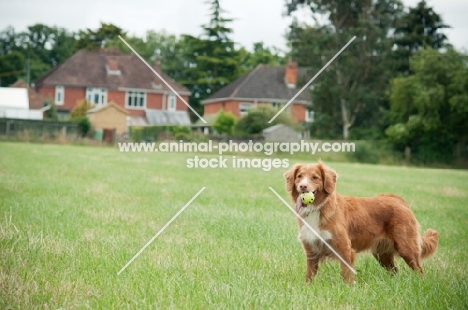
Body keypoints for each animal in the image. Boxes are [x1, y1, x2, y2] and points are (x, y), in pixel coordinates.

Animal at [284, 163, 440, 282]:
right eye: (299, 177)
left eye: (315, 177)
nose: (303, 186)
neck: (318, 208)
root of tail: (398, 199)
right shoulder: (311, 251)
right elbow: (309, 275)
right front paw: (307, 287)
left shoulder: (344, 248)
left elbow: (346, 274)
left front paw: (348, 289)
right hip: (382, 255)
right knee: (395, 271)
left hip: (406, 247)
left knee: (419, 270)